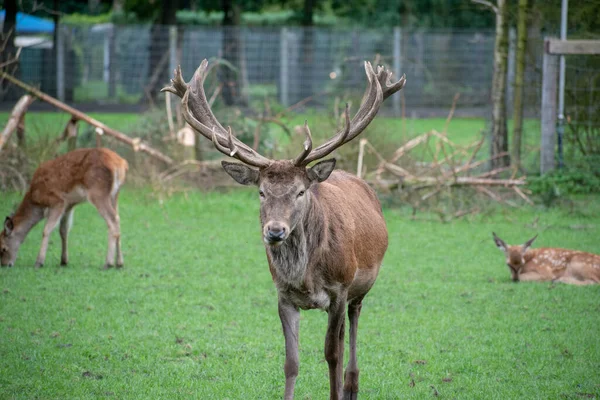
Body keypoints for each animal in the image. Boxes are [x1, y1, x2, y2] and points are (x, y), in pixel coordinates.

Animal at [164, 60, 406, 400]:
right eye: (261, 192)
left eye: (300, 191)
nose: (275, 231)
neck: (305, 277)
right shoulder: (283, 296)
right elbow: (291, 361)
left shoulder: (339, 290)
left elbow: (331, 354)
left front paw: (335, 392)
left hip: (360, 287)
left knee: (352, 328)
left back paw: (351, 386)